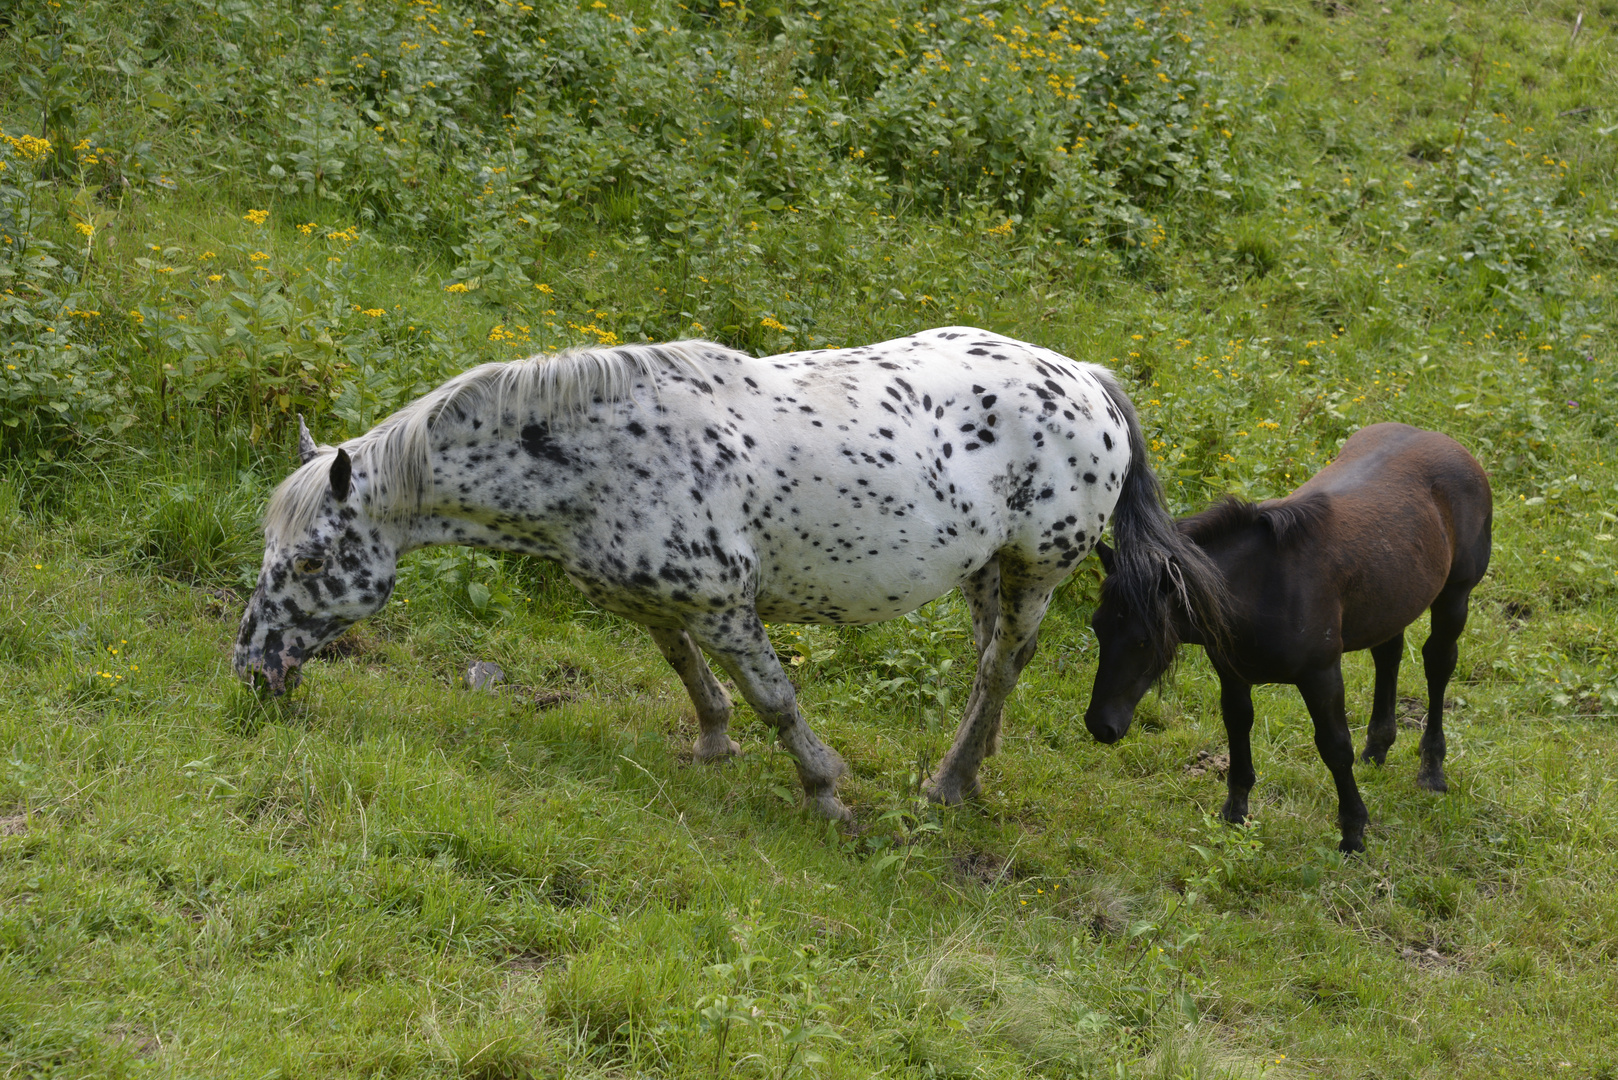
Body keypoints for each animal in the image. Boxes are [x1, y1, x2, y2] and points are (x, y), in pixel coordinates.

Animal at [236, 327, 1223, 819]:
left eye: (314, 559)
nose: (252, 671)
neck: (600, 460)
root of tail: (1086, 379)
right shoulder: (655, 601)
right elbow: (685, 668)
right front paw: (712, 742)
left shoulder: (726, 606)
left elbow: (774, 699)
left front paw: (825, 792)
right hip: (990, 569)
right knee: (997, 667)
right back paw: (972, 765)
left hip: (1038, 570)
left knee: (1000, 664)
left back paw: (947, 786)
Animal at [1087, 420, 1488, 854]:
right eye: (1098, 627)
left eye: (1144, 640)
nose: (1099, 726)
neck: (1262, 586)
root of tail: (1450, 445)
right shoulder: (1232, 672)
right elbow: (1237, 726)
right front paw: (1235, 812)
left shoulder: (1321, 675)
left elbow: (1334, 747)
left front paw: (1353, 830)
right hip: (1393, 597)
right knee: (1389, 655)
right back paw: (1377, 749)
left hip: (1454, 597)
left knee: (1438, 664)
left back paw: (1431, 771)